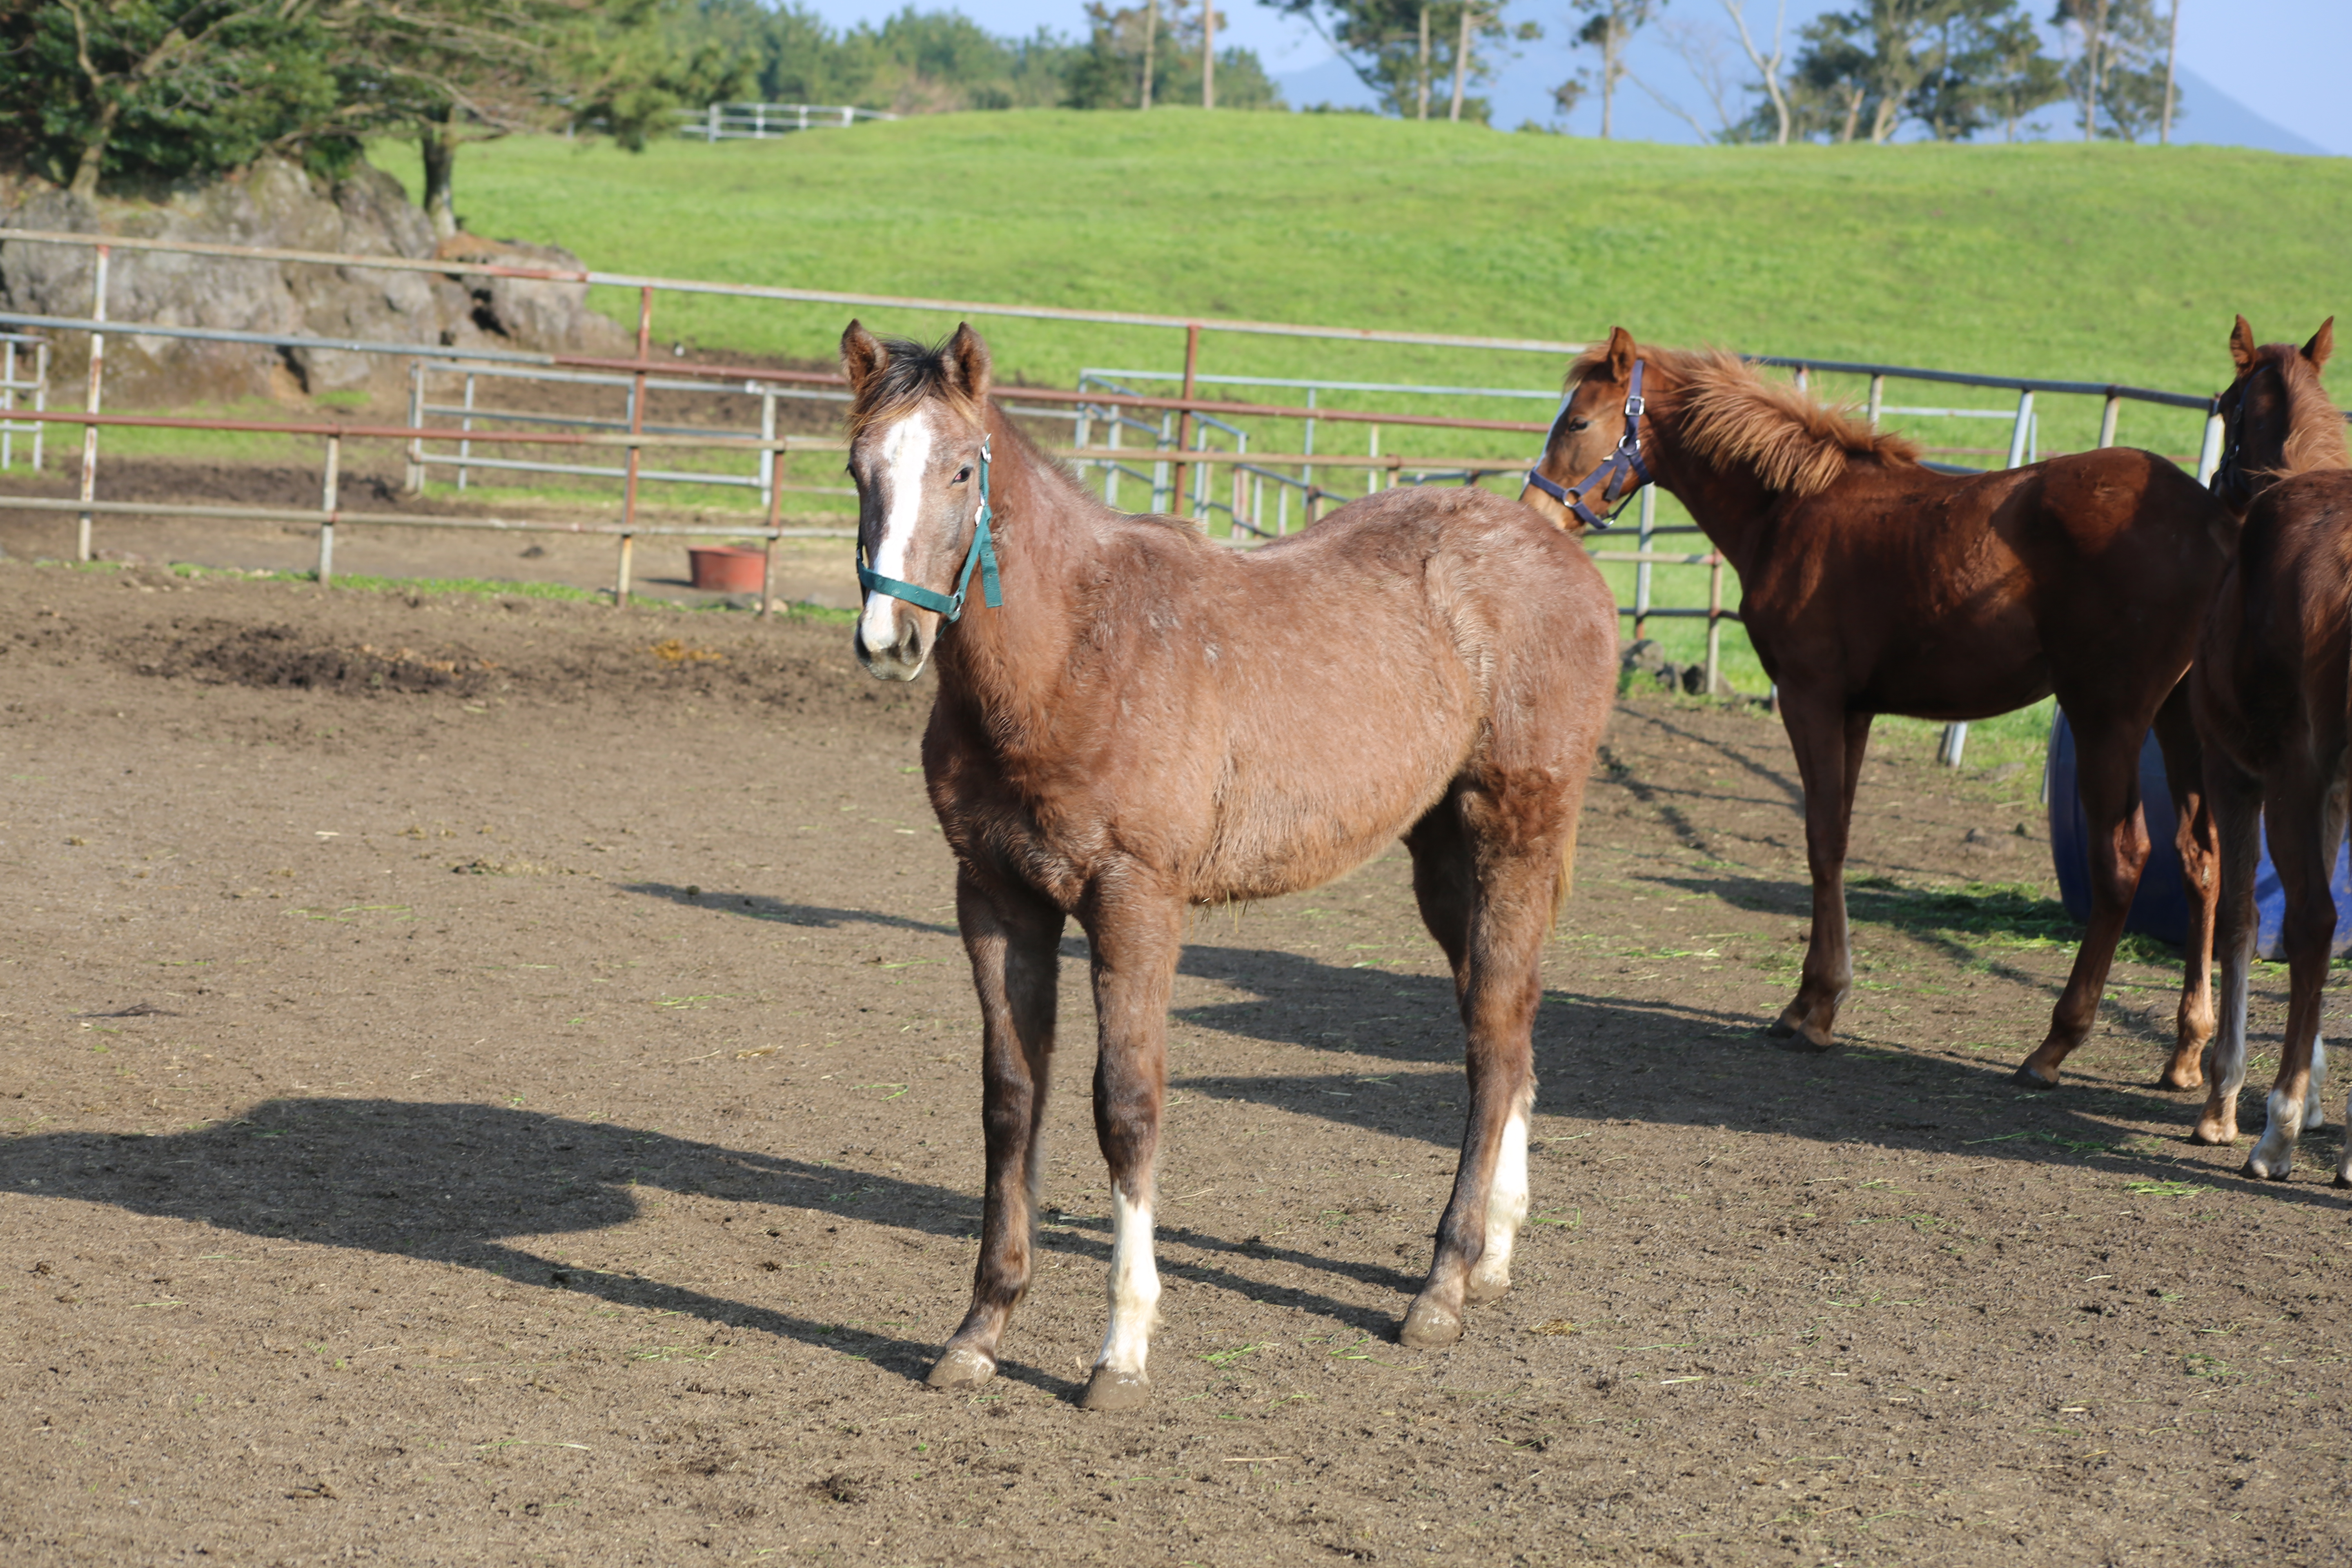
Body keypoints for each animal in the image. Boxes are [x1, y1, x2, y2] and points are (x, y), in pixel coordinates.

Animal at [842, 319, 1618, 1410]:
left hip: (1516, 826)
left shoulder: (1135, 901)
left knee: (1495, 1038)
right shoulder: (995, 898)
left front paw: (1121, 1349)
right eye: (858, 469)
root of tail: (1553, 549)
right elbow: (1010, 1102)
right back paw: (1492, 1256)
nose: (891, 638)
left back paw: (1443, 1283)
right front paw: (980, 1329)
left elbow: (1125, 1106)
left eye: (961, 468)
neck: (1069, 653)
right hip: (1441, 853)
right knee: (1504, 1026)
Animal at [1515, 331, 2230, 1091]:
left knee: (2123, 861)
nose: (1537, 514)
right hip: (2179, 723)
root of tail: (2211, 517)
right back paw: (2187, 1053)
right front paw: (1812, 999)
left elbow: (1821, 840)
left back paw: (2055, 1044)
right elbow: (1839, 836)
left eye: (1577, 423)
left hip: (2107, 717)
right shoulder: (1855, 712)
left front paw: (1816, 1008)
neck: (1790, 507)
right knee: (2200, 862)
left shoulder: (1811, 697)